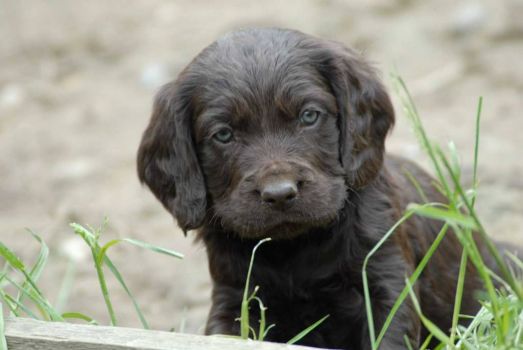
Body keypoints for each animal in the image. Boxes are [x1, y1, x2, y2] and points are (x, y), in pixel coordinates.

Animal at [137, 28, 494, 348]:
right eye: (223, 134)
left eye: (309, 116)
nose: (279, 193)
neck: (296, 248)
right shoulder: (236, 297)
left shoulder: (386, 279)